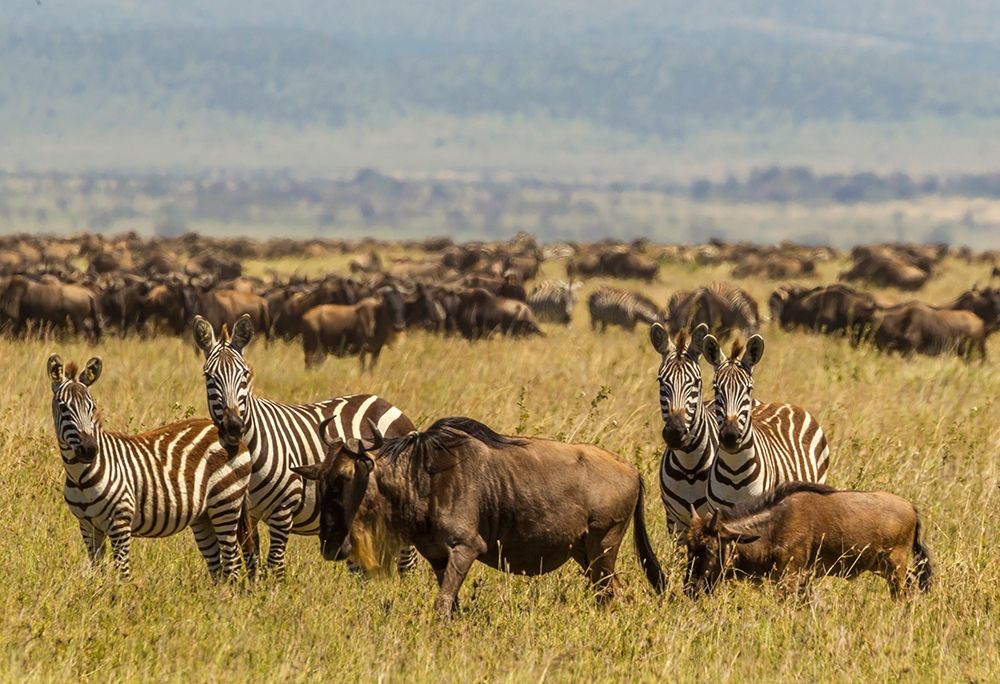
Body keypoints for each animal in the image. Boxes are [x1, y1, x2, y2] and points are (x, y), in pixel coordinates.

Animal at [47, 354, 252, 580]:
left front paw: (119, 590)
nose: (90, 449)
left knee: (232, 562)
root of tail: (231, 434)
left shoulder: (120, 522)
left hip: (226, 502)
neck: (80, 477)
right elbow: (98, 571)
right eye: (63, 407)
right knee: (216, 565)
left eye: (92, 407)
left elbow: (123, 573)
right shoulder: (88, 526)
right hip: (204, 515)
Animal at [192, 314, 418, 579]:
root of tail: (388, 404)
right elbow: (252, 561)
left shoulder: (283, 509)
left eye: (245, 375)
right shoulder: (246, 514)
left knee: (409, 561)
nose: (234, 426)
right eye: (209, 377)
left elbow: (275, 565)